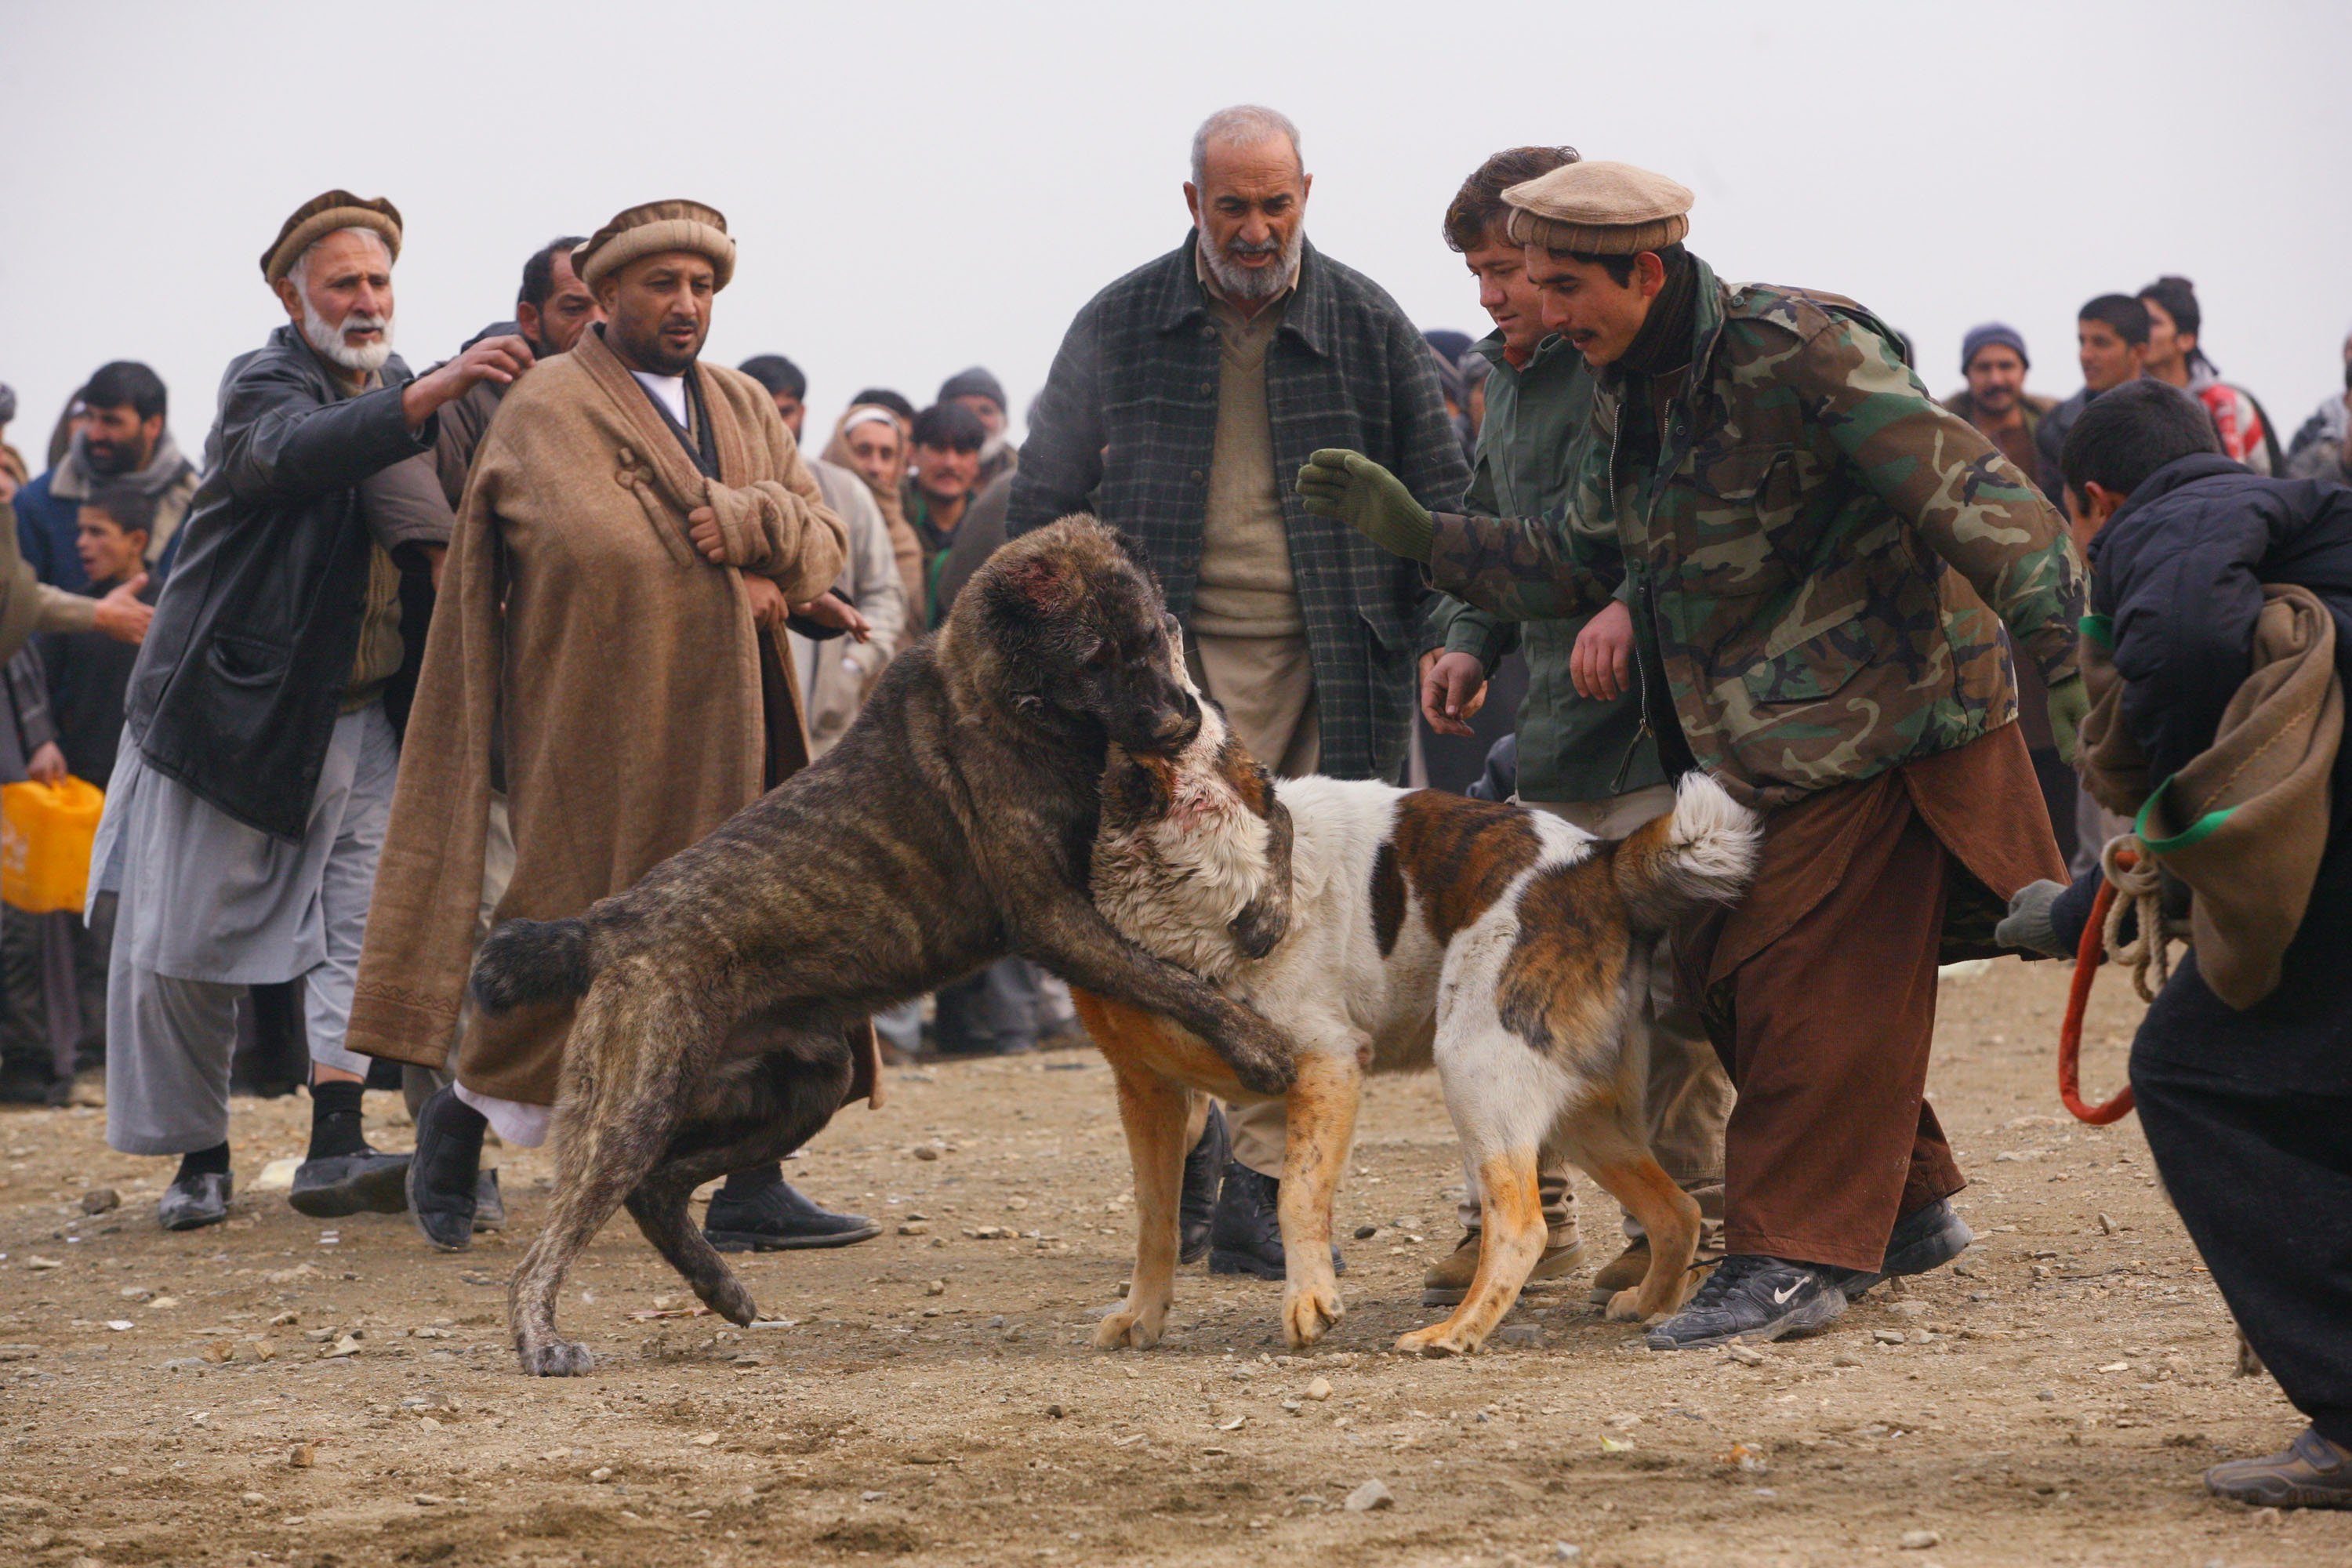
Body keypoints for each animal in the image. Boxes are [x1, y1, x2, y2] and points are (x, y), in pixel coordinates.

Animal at [468, 517, 1298, 1373]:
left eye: (1151, 634)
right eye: (1094, 660)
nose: (1180, 722)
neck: (1014, 700)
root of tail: (607, 921)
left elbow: (1276, 816)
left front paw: (1267, 912)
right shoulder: (1056, 916)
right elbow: (1176, 981)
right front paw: (1258, 1043)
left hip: (800, 1090)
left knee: (658, 1187)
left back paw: (718, 1286)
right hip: (639, 1101)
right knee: (555, 1241)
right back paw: (543, 1338)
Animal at [1077, 691, 1759, 1354]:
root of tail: (1601, 862)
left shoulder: (1326, 1064)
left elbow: (1297, 1193)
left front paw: (1309, 1302)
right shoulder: (1148, 1094)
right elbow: (1154, 1218)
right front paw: (1141, 1315)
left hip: (1474, 1069)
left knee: (1521, 1226)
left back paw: (1457, 1331)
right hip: (1577, 1112)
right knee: (1676, 1210)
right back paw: (1648, 1304)